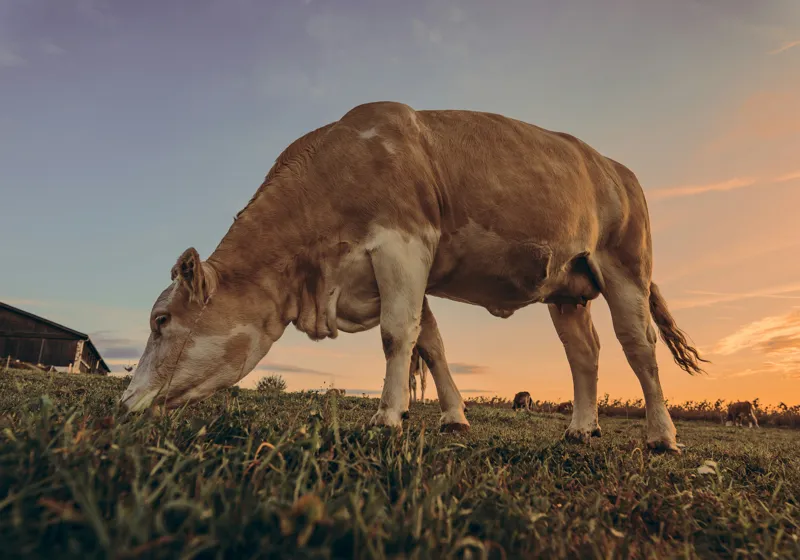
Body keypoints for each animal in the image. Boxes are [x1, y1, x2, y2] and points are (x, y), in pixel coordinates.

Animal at [120, 101, 707, 453]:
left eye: (161, 319)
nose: (123, 404)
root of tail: (615, 167)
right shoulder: (399, 269)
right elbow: (431, 342)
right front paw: (453, 417)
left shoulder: (403, 245)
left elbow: (396, 335)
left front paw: (388, 415)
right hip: (567, 288)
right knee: (584, 353)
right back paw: (581, 428)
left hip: (626, 265)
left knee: (639, 346)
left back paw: (662, 435)